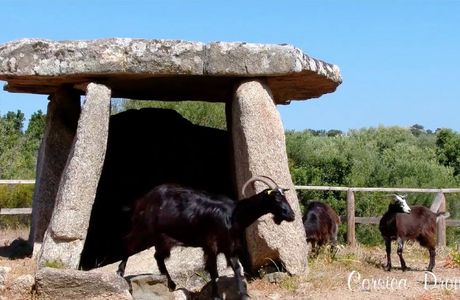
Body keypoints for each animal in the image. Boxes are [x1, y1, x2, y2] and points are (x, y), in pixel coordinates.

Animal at [116, 176, 294, 300]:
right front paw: (215, 296)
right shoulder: (211, 246)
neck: (234, 215)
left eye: (285, 197)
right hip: (144, 229)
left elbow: (237, 269)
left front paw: (243, 294)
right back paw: (120, 272)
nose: (291, 215)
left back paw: (171, 284)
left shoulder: (229, 246)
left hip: (162, 238)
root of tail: (143, 199)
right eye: (276, 198)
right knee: (128, 243)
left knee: (157, 257)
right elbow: (214, 272)